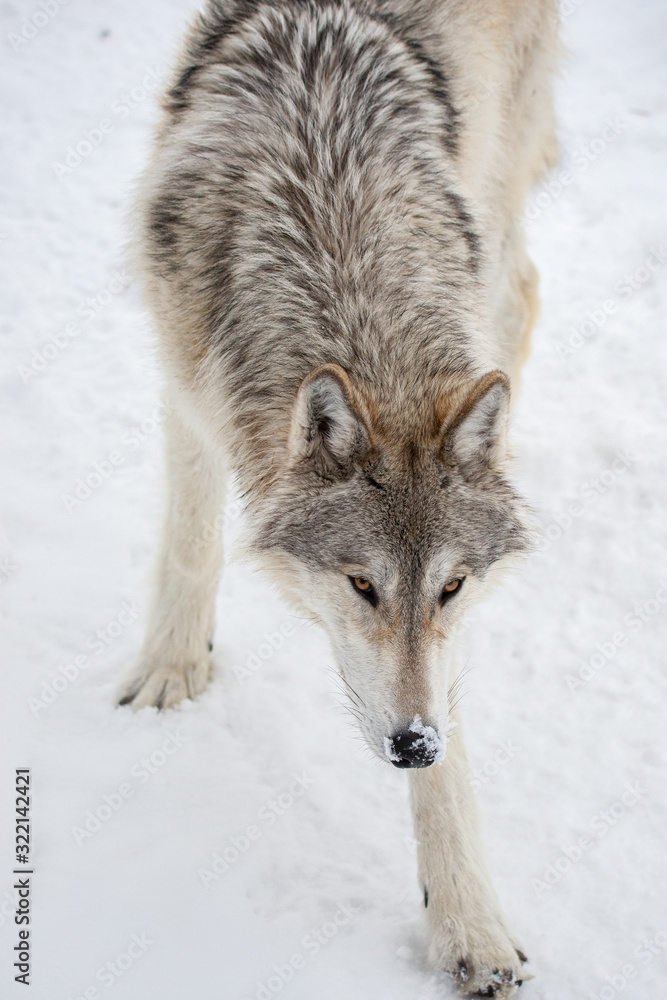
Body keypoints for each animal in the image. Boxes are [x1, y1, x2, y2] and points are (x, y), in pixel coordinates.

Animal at [117, 0, 558, 994]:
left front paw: (468, 928)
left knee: (518, 289)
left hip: (498, 169)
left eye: (450, 588)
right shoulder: (189, 384)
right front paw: (171, 671)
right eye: (361, 586)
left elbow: (450, 768)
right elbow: (192, 541)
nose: (410, 744)